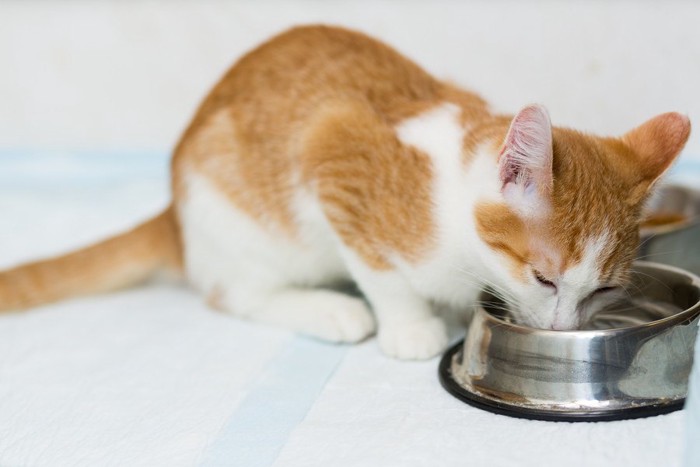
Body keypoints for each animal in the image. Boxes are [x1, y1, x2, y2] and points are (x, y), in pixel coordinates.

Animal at [0, 26, 688, 362]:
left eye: (601, 291)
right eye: (545, 280)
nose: (565, 327)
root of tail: (173, 214)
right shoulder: (333, 153)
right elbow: (381, 270)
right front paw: (410, 325)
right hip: (236, 220)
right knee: (232, 294)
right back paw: (330, 309)